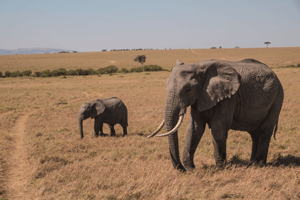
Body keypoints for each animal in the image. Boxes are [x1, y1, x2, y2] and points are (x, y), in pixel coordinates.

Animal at [149, 58, 284, 171]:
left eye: (187, 89)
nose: (181, 169)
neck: (198, 66)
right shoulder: (199, 97)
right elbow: (195, 129)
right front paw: (191, 169)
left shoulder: (229, 97)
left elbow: (218, 128)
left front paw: (221, 167)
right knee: (254, 133)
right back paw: (252, 162)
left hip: (277, 98)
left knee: (265, 129)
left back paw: (259, 164)